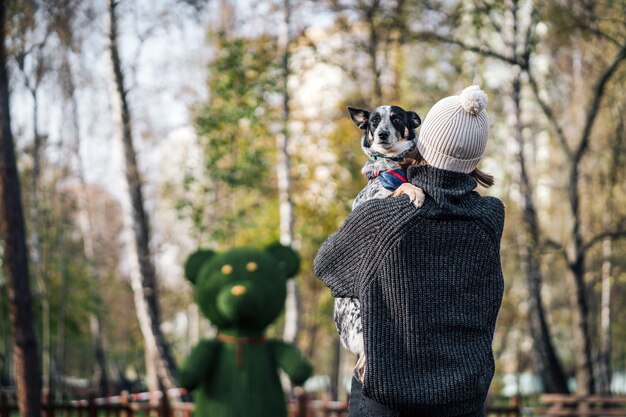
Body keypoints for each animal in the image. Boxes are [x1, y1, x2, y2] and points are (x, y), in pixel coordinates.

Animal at [332, 105, 424, 380]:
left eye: (396, 118)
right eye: (374, 121)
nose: (382, 134)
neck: (391, 165)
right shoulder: (375, 202)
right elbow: (404, 186)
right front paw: (416, 192)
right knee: (360, 368)